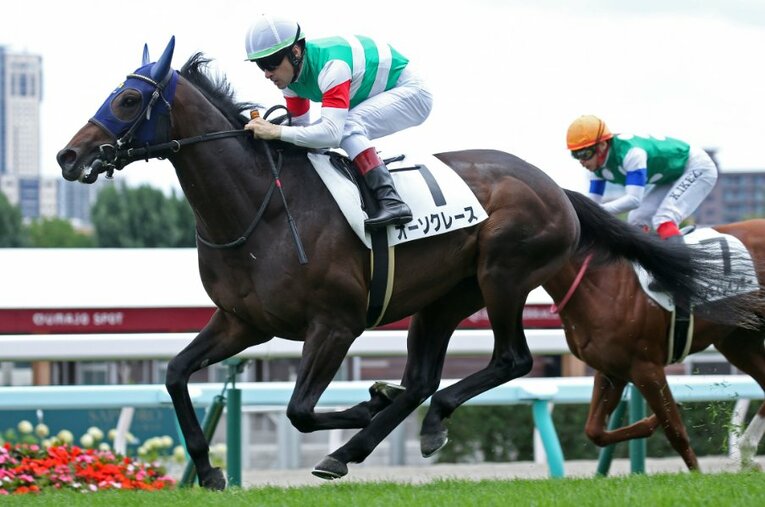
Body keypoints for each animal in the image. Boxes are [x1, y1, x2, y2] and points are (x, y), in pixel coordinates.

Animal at [543, 219, 765, 471]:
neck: (597, 281)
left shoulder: (646, 367)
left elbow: (676, 431)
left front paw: (697, 474)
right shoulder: (612, 370)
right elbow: (594, 430)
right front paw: (652, 422)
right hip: (739, 344)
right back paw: (747, 451)